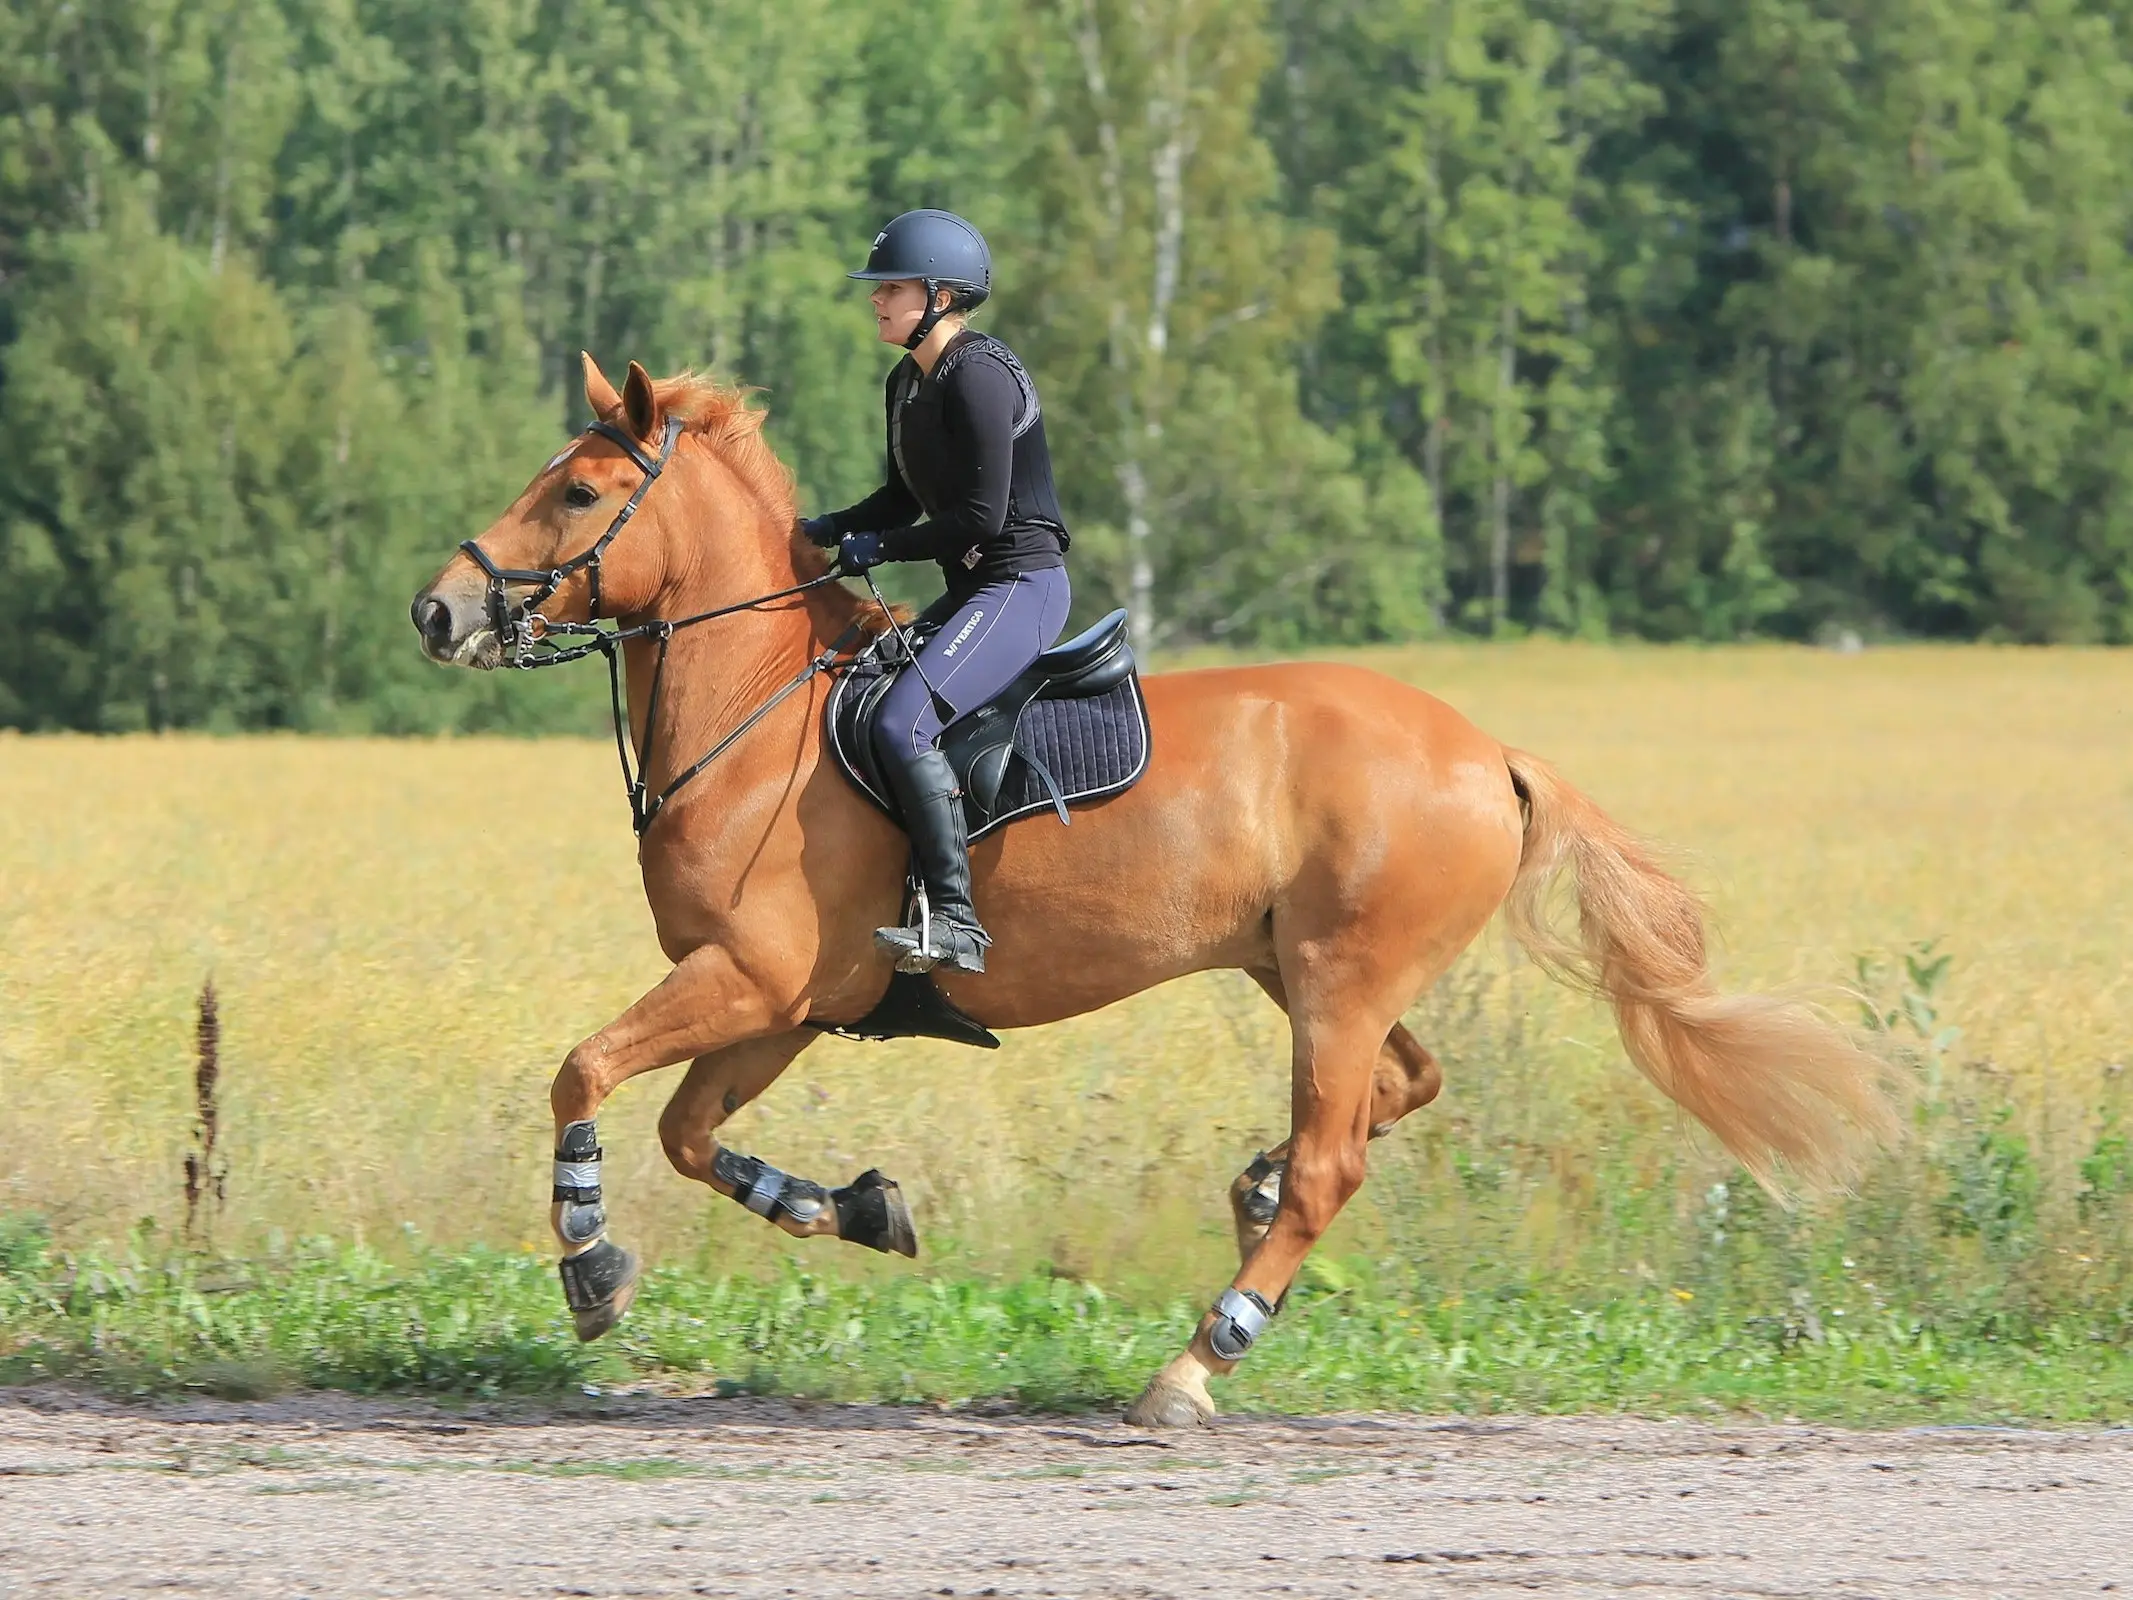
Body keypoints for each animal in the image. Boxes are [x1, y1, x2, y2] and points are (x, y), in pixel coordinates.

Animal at [411, 354, 1902, 1425]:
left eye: (578, 493)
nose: (438, 612)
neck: (758, 707)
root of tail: (1489, 752)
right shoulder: (789, 1003)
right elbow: (683, 1133)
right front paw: (857, 1209)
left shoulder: (751, 977)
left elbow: (583, 1072)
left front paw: (590, 1265)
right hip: (1307, 971)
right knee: (1394, 1092)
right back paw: (1248, 1191)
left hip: (1340, 980)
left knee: (1335, 1158)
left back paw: (1198, 1360)